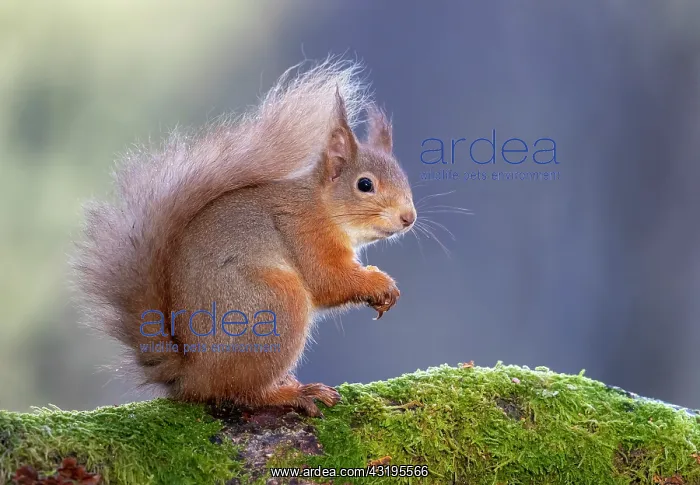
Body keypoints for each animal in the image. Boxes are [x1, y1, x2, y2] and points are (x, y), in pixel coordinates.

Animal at [72, 58, 416, 417]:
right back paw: (291, 393)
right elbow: (327, 280)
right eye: (365, 184)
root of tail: (193, 374)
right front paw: (378, 283)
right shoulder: (304, 233)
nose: (409, 218)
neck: (321, 206)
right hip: (276, 306)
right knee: (242, 392)